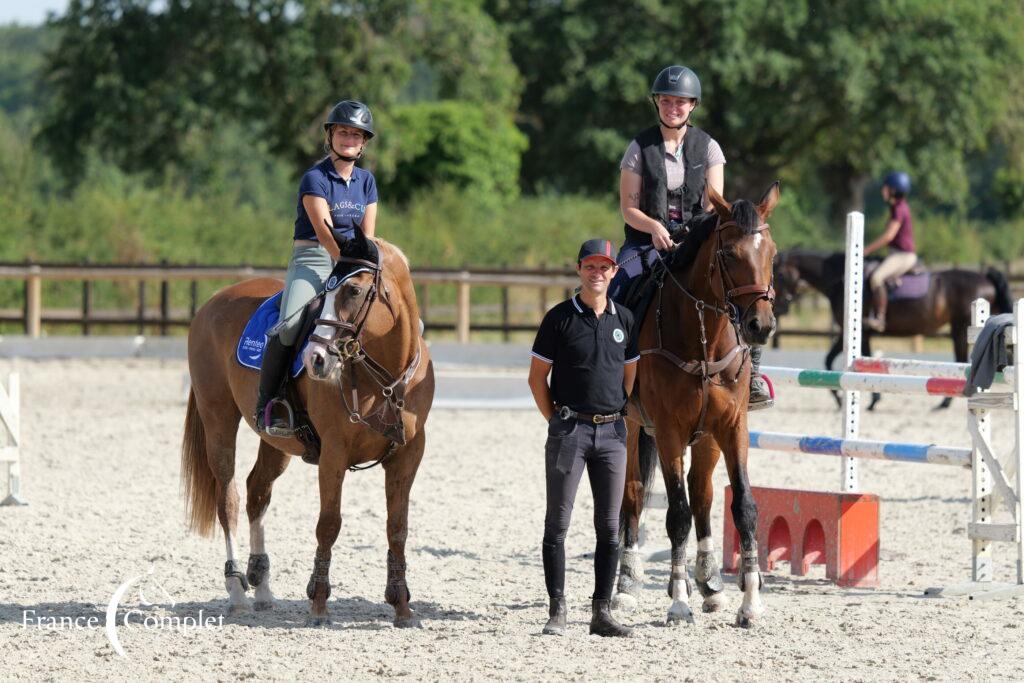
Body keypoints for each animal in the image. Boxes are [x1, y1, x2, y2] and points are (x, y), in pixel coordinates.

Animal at [180, 232, 432, 626]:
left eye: (354, 290)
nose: (316, 359)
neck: (387, 377)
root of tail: (213, 302)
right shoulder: (334, 454)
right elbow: (328, 524)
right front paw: (319, 603)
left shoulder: (408, 455)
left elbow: (398, 529)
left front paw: (402, 606)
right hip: (217, 418)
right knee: (228, 499)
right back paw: (237, 589)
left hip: (275, 441)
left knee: (257, 492)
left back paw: (262, 586)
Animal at [610, 183, 778, 630]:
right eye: (730, 254)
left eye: (771, 253)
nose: (761, 326)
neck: (704, 336)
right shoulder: (668, 432)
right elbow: (677, 515)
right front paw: (678, 603)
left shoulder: (732, 427)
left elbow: (743, 507)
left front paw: (749, 604)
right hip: (634, 429)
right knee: (634, 495)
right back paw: (627, 584)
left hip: (707, 439)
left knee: (702, 492)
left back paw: (709, 584)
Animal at [770, 252, 1011, 409]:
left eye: (779, 274)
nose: (778, 307)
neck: (841, 281)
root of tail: (986, 278)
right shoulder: (852, 333)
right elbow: (833, 361)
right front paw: (846, 399)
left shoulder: (860, 333)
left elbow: (839, 363)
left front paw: (859, 400)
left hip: (960, 328)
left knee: (962, 359)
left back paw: (945, 402)